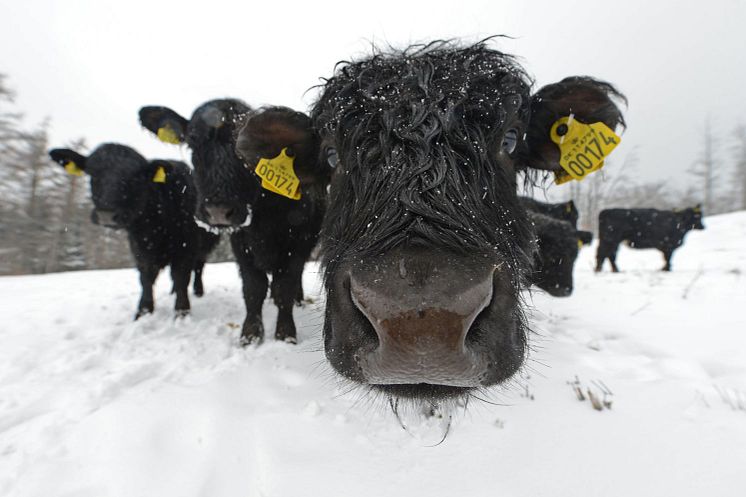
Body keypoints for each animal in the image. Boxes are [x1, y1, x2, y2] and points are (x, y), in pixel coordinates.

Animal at [48, 142, 218, 318]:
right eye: (92, 174)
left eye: (134, 177)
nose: (106, 215)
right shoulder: (139, 249)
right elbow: (146, 278)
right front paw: (143, 311)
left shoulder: (185, 247)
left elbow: (181, 277)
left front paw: (182, 312)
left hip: (206, 245)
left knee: (198, 268)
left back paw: (198, 291)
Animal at [140, 102, 326, 344]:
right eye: (192, 142)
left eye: (241, 151)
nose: (217, 211)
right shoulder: (241, 243)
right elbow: (254, 288)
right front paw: (250, 335)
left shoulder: (298, 244)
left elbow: (284, 287)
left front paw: (285, 334)